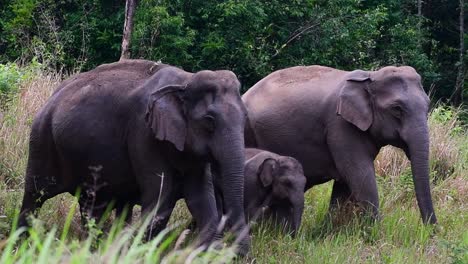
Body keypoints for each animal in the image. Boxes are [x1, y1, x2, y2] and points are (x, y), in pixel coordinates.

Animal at [18, 58, 250, 253]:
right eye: (209, 121)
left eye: (246, 118)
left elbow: (201, 198)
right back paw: (21, 246)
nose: (238, 252)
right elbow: (159, 199)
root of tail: (51, 98)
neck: (185, 80)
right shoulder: (143, 133)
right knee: (35, 195)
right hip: (42, 140)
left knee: (91, 205)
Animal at [243, 65, 436, 224]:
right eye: (397, 109)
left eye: (428, 105)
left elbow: (344, 183)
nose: (431, 230)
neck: (370, 76)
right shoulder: (340, 126)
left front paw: (328, 230)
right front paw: (375, 233)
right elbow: (359, 175)